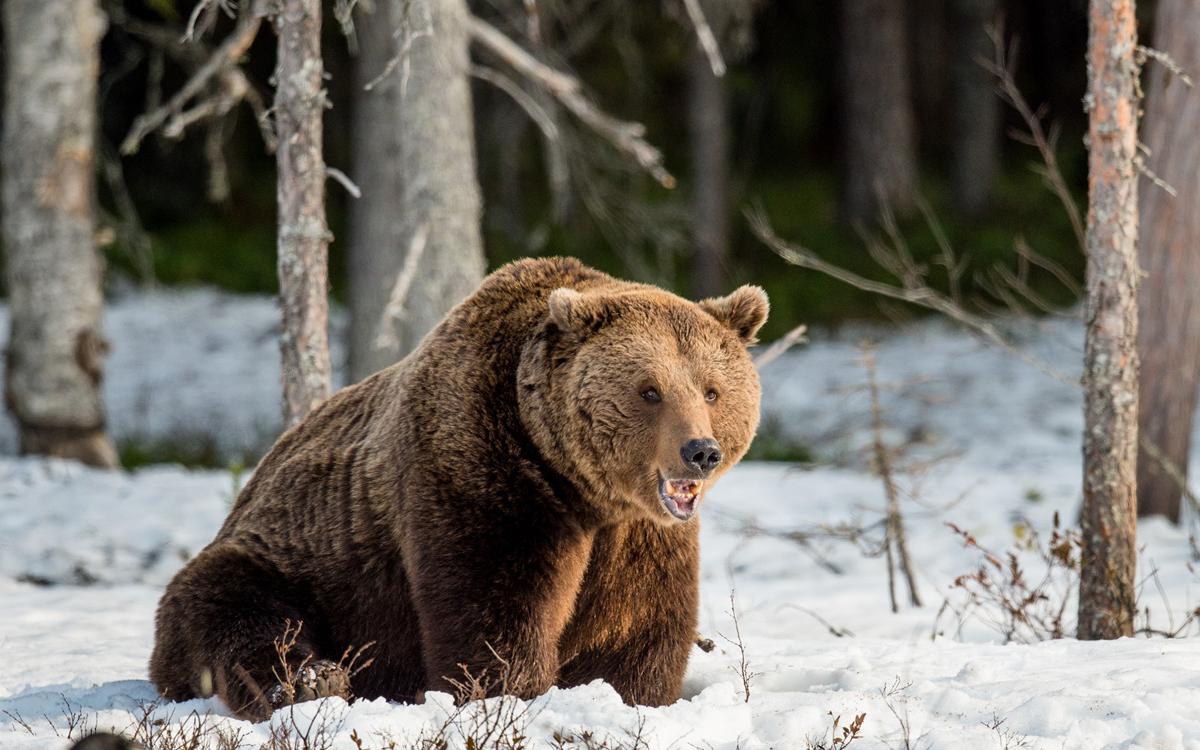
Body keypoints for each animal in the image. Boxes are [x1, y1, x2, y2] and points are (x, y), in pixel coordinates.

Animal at [152, 259, 768, 720]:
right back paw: (311, 680)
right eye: (649, 391)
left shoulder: (637, 538)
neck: (576, 485)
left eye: (712, 390)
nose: (701, 451)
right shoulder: (483, 478)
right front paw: (508, 693)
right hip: (291, 559)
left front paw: (627, 696)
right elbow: (494, 611)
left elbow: (633, 629)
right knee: (236, 610)